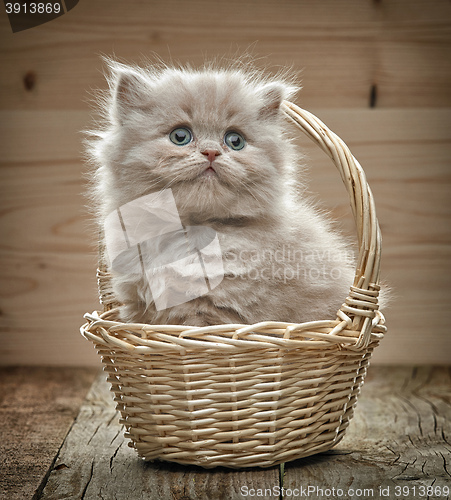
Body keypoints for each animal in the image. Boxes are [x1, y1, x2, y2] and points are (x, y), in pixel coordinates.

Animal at [86, 59, 358, 328]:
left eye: (235, 140)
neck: (192, 234)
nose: (211, 152)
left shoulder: (212, 317)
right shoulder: (137, 308)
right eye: (180, 136)